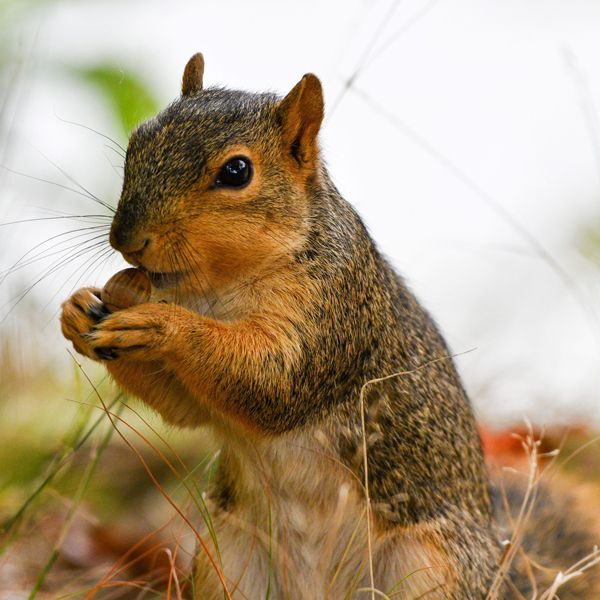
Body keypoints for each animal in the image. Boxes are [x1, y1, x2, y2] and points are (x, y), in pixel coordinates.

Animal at [61, 54, 600, 596]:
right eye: (138, 139)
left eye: (237, 171)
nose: (126, 238)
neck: (219, 289)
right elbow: (187, 408)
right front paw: (77, 309)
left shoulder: (335, 311)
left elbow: (271, 382)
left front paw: (160, 324)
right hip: (227, 563)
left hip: (431, 568)